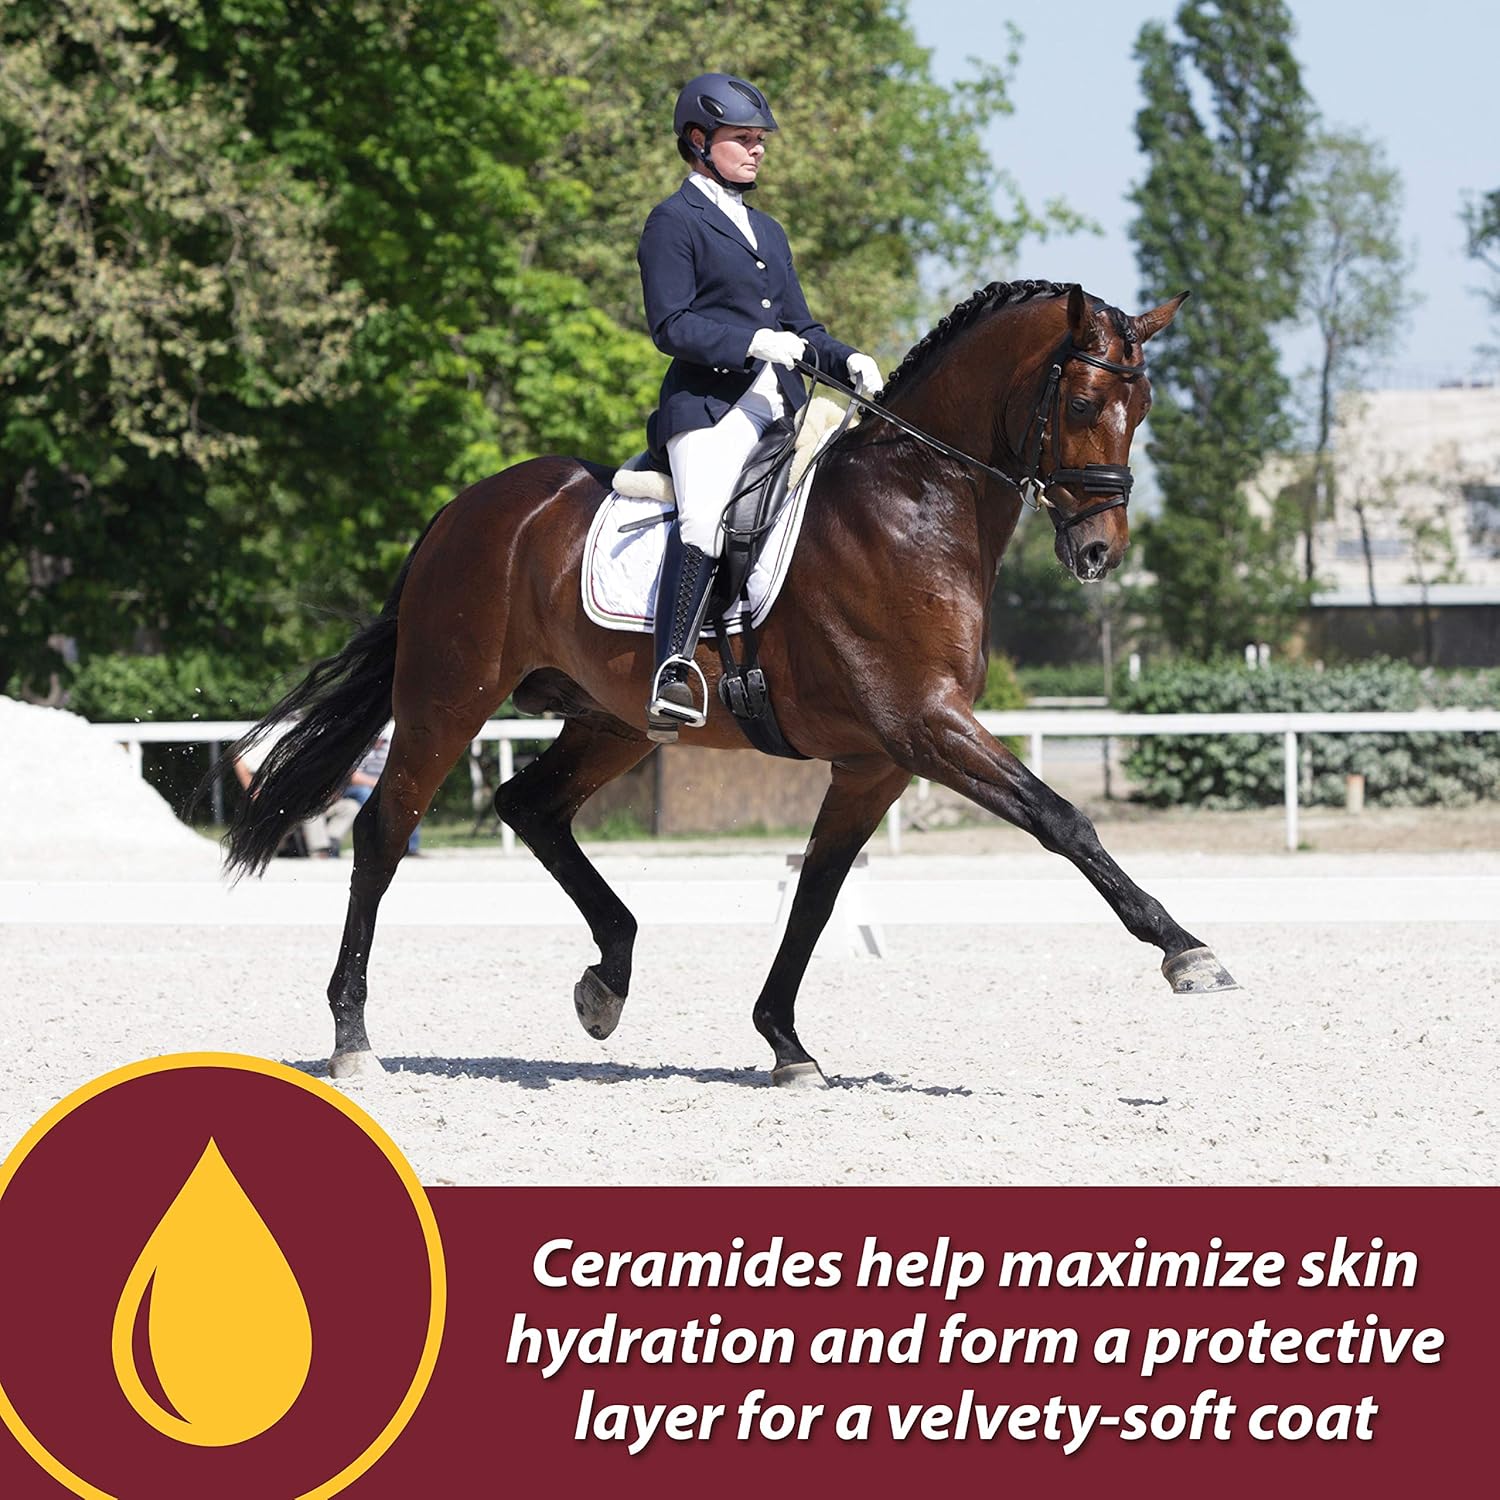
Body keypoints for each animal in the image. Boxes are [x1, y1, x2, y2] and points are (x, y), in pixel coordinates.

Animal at [222, 279, 1237, 1087]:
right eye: (1083, 400)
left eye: (1144, 405)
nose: (1100, 553)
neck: (914, 504)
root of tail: (465, 507)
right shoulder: (928, 727)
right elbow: (1064, 820)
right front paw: (1186, 953)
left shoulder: (877, 762)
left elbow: (819, 894)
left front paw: (785, 1044)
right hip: (448, 697)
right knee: (384, 832)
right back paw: (354, 1039)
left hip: (613, 721)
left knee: (529, 806)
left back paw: (608, 979)